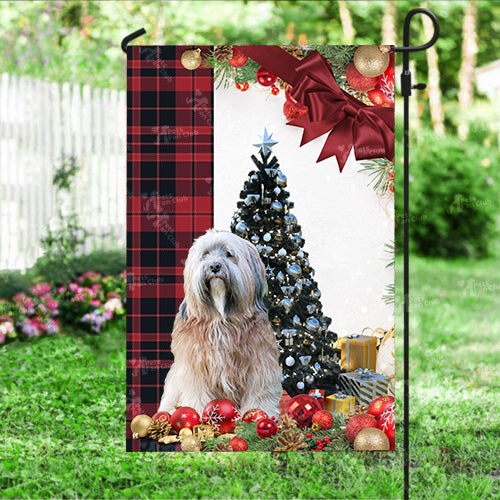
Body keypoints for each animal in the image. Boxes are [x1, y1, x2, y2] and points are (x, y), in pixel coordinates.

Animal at [157, 229, 282, 416]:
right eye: (205, 254)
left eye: (229, 254)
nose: (214, 266)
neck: (221, 318)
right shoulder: (194, 365)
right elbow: (197, 391)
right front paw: (198, 413)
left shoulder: (259, 360)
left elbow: (259, 388)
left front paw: (259, 412)